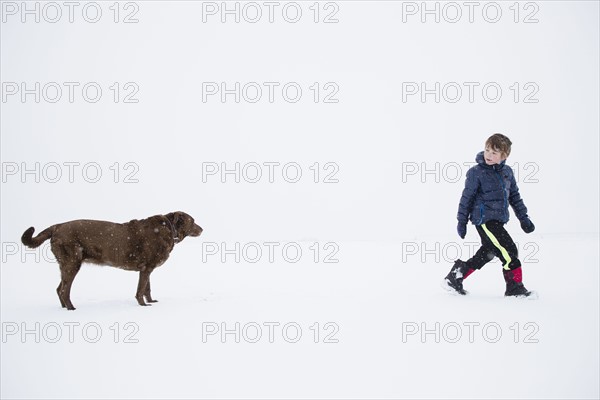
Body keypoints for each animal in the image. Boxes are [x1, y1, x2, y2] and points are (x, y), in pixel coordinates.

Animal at [21, 212, 202, 310]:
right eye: (193, 221)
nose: (202, 229)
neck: (168, 229)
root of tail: (57, 226)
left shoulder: (147, 269)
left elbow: (147, 289)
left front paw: (151, 302)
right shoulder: (146, 269)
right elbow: (140, 290)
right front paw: (143, 306)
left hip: (65, 266)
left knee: (59, 288)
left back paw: (65, 308)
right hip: (72, 263)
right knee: (64, 290)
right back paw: (71, 308)